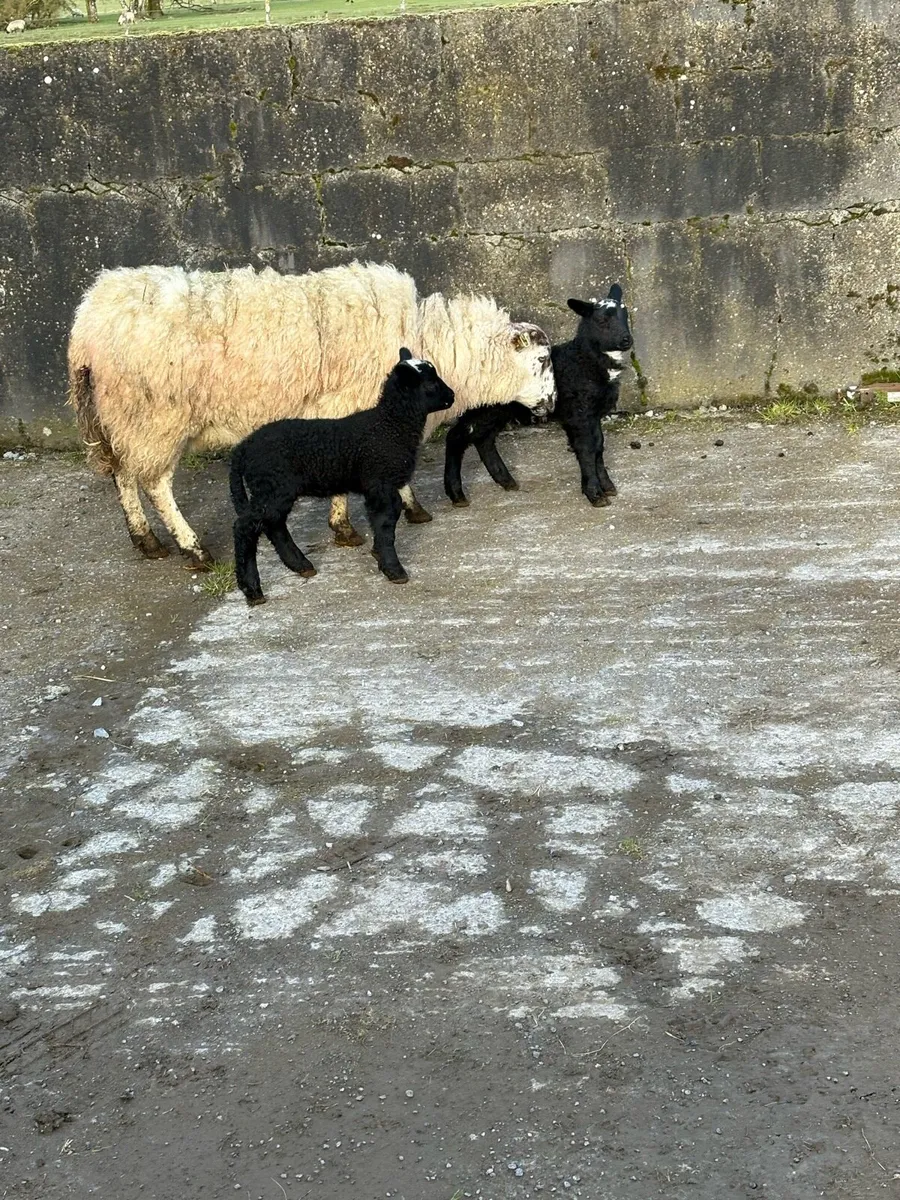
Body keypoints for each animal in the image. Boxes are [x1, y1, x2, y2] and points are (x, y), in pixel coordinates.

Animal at [67, 261, 555, 568]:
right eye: (543, 360)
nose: (551, 408)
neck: (433, 341)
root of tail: (88, 318)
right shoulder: (356, 408)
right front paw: (352, 526)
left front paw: (406, 508)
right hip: (155, 413)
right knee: (154, 482)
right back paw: (193, 550)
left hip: (120, 416)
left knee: (123, 474)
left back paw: (146, 541)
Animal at [230, 348, 455, 606]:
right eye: (430, 383)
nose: (452, 395)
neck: (390, 426)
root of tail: (244, 447)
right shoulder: (380, 482)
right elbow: (385, 522)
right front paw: (393, 569)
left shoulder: (380, 486)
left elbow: (385, 520)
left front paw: (379, 555)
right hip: (272, 487)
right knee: (245, 528)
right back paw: (252, 589)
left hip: (274, 490)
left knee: (274, 525)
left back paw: (301, 565)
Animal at [442, 284, 634, 508]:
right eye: (602, 320)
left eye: (625, 315)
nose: (626, 340)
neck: (585, 361)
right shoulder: (579, 413)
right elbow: (587, 449)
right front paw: (595, 494)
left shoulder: (593, 415)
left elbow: (598, 446)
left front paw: (607, 486)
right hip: (480, 408)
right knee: (456, 438)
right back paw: (456, 494)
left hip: (495, 411)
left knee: (484, 440)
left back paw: (506, 481)